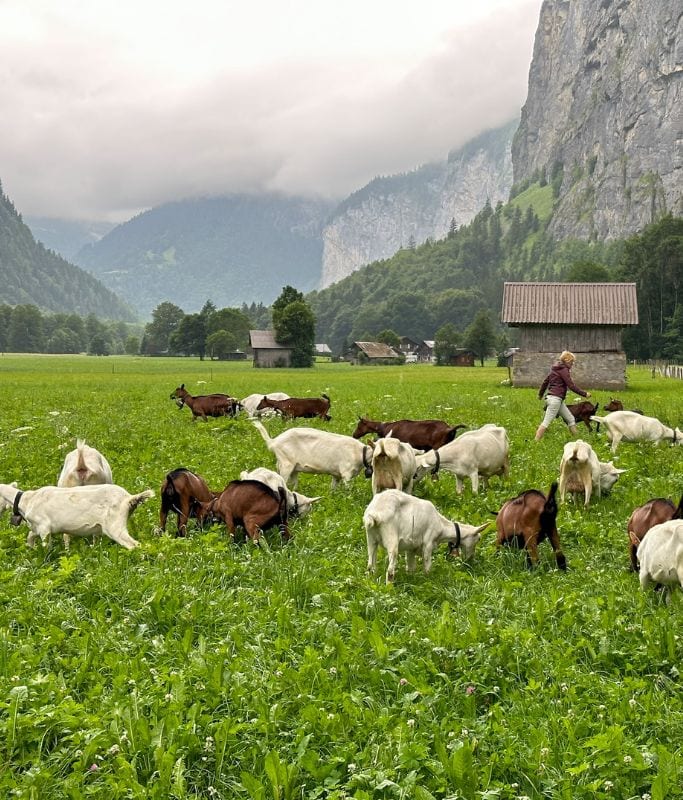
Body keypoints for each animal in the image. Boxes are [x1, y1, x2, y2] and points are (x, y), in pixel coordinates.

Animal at [0, 482, 154, 552]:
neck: (27, 501)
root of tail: (128, 498)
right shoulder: (36, 528)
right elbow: (30, 537)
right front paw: (31, 550)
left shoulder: (44, 528)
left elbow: (46, 546)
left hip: (115, 526)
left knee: (133, 545)